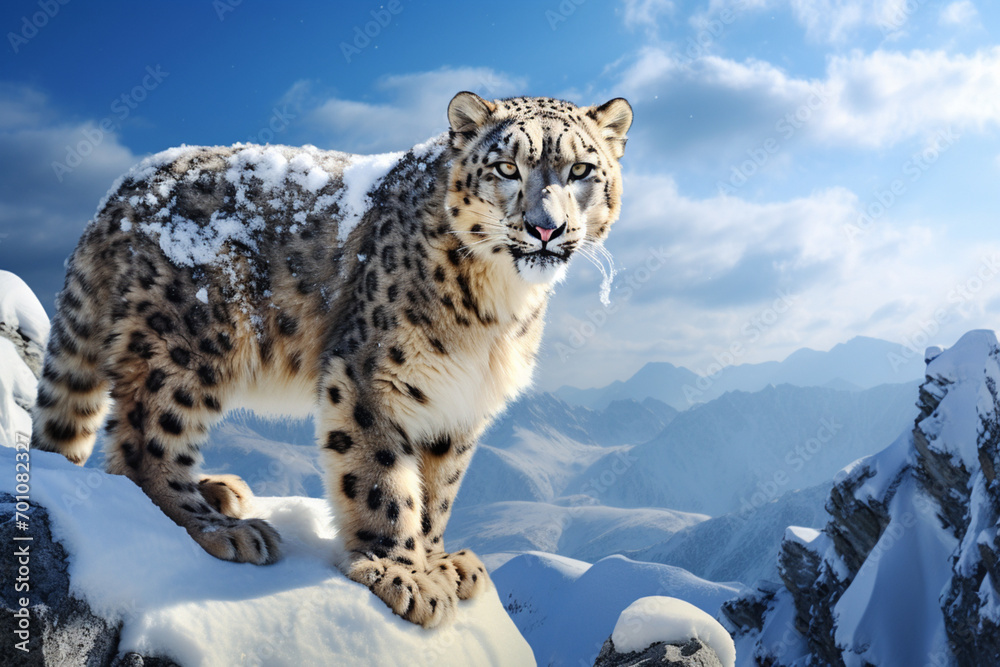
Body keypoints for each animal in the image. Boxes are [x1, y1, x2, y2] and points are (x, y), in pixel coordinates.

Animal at [30, 91, 633, 628]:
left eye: (581, 169)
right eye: (508, 167)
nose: (546, 227)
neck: (500, 310)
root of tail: (123, 188)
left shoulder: (460, 401)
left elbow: (439, 489)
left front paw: (439, 561)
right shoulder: (371, 376)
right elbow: (382, 478)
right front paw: (402, 574)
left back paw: (220, 491)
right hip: (189, 342)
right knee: (142, 443)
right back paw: (222, 527)